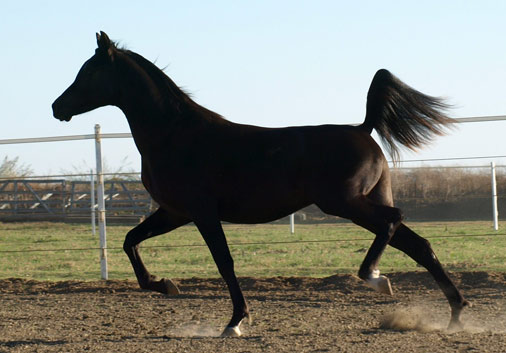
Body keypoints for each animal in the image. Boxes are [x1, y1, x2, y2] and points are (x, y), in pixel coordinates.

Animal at [53, 32, 468, 336]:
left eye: (88, 72)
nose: (58, 107)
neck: (175, 136)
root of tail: (362, 129)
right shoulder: (174, 212)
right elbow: (130, 242)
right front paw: (166, 284)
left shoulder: (202, 212)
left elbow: (224, 262)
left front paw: (235, 322)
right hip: (360, 201)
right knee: (417, 243)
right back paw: (455, 313)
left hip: (345, 203)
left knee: (394, 221)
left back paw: (375, 279)